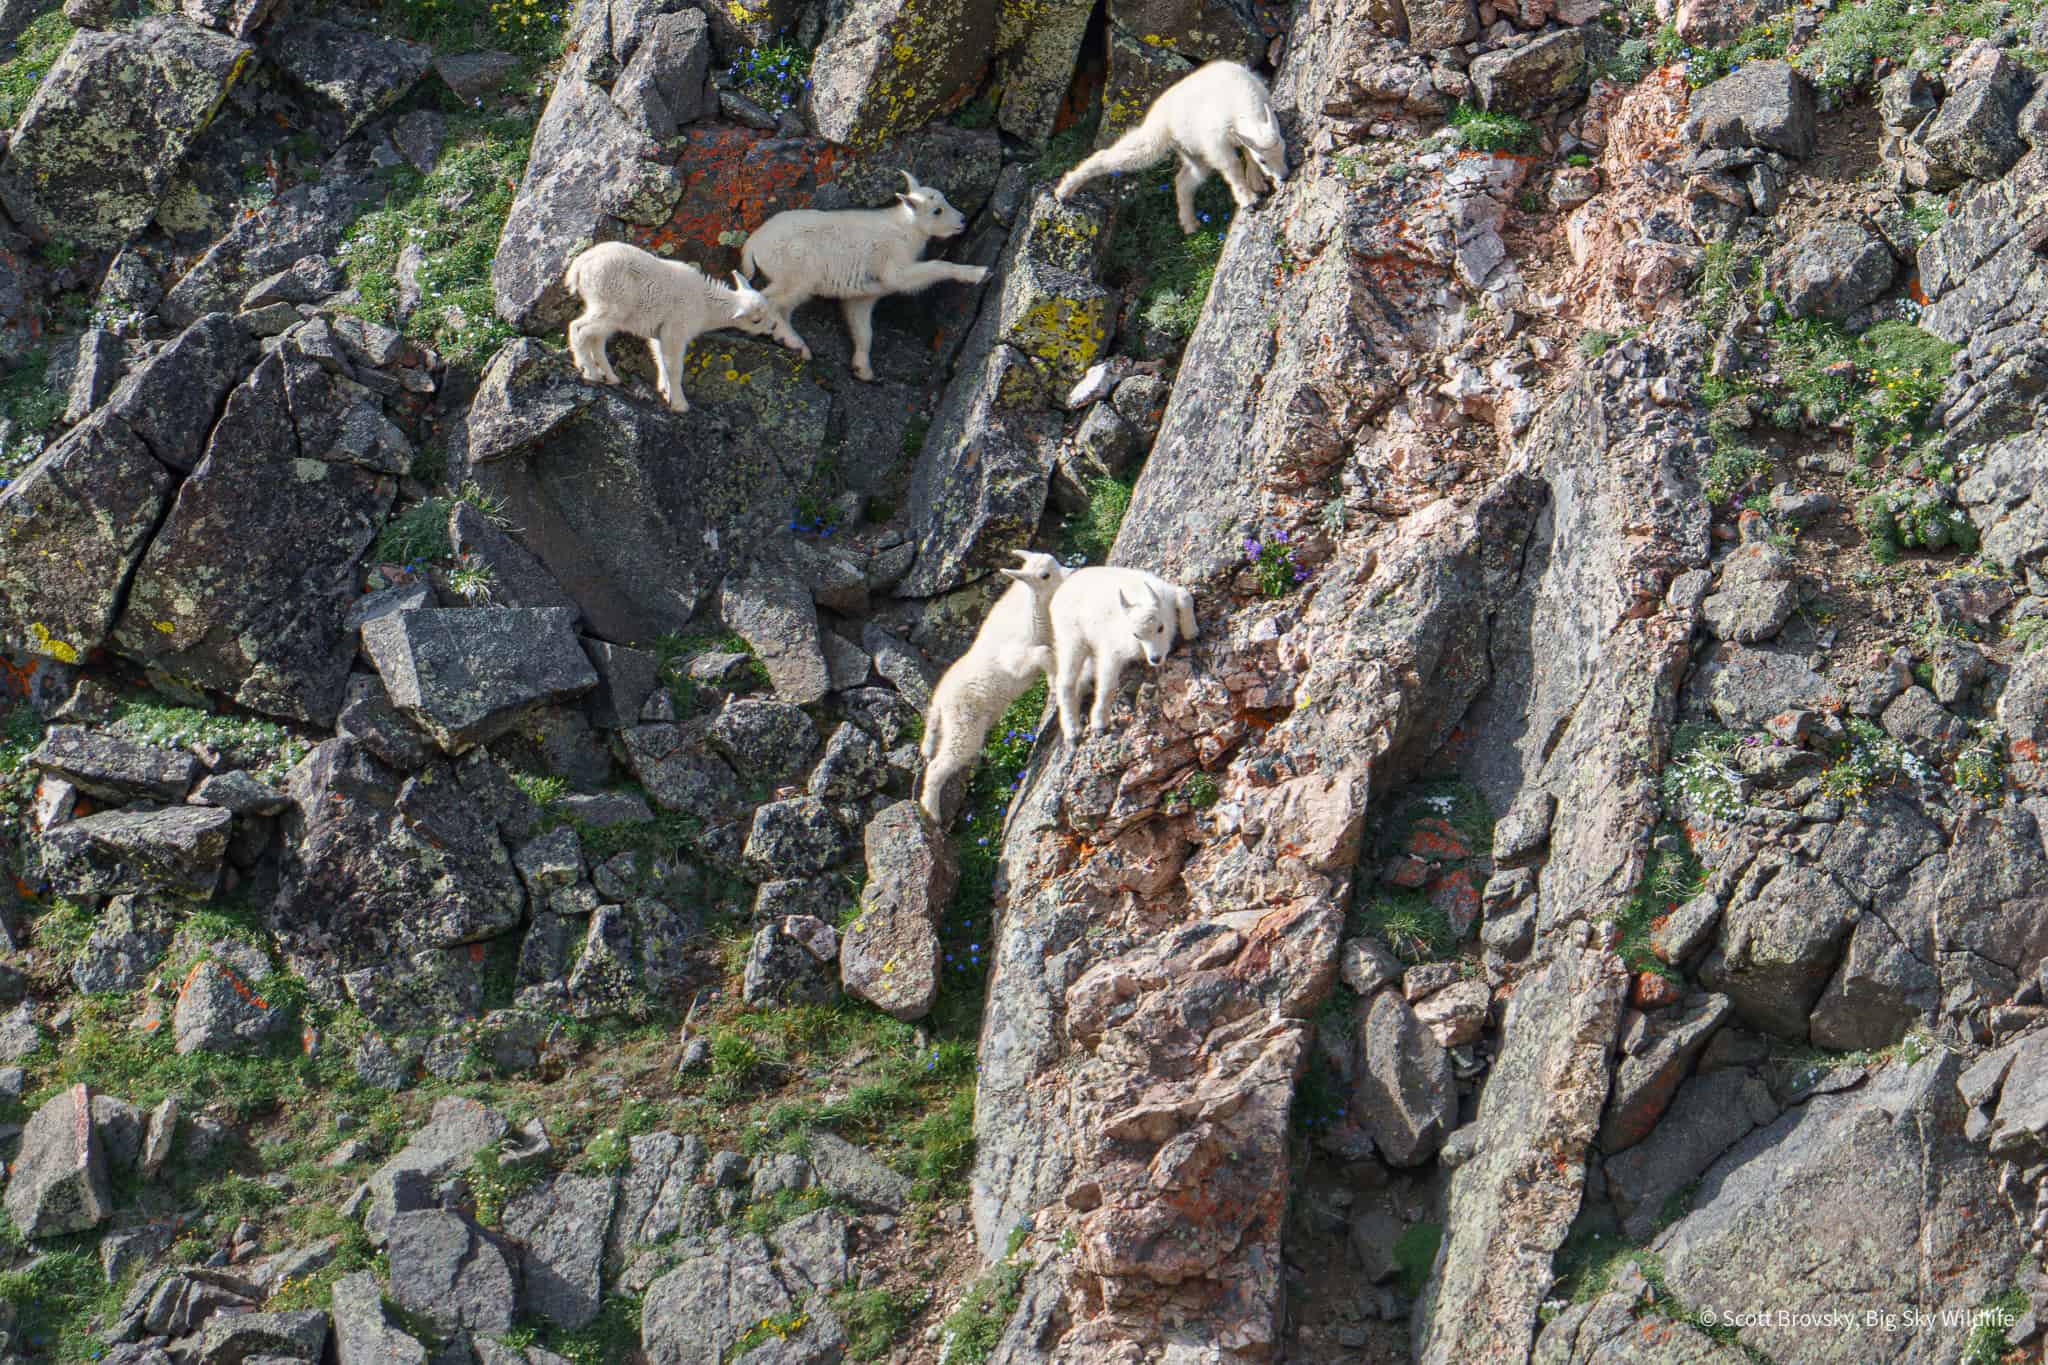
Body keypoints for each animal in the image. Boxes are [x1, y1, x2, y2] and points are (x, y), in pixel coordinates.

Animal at [563, 241, 804, 413]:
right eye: (755, 320)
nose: (773, 326)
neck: (706, 306)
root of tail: (579, 267)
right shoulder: (676, 330)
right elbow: (674, 367)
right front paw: (680, 404)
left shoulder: (659, 332)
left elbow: (660, 359)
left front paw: (664, 390)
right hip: (609, 305)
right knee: (579, 329)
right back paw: (590, 372)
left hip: (605, 309)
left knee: (595, 338)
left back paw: (610, 377)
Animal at [740, 171, 990, 382]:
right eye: (936, 211)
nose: (962, 221)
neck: (907, 230)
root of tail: (753, 245)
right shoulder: (894, 268)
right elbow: (933, 267)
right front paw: (978, 273)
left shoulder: (863, 294)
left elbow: (864, 331)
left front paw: (863, 370)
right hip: (797, 273)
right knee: (768, 300)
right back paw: (791, 340)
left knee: (780, 305)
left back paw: (793, 343)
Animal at [918, 551, 1069, 823]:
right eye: (1045, 575)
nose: (1073, 572)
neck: (1034, 616)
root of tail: (939, 702)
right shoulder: (1017, 662)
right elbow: (1044, 654)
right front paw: (1054, 684)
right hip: (964, 727)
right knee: (938, 766)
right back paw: (932, 812)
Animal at [1049, 566, 1198, 744]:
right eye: (1136, 635)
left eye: (1160, 627)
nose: (1155, 659)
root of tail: (1060, 591)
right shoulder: (1111, 652)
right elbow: (1107, 686)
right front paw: (1099, 723)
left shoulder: (1169, 596)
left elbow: (1183, 595)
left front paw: (1191, 631)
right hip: (1071, 640)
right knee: (1065, 682)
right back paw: (1072, 732)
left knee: (1081, 680)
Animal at [1055, 61, 1288, 234]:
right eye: (1265, 160)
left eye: (1283, 149)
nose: (1285, 176)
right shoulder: (1216, 143)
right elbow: (1232, 167)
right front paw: (1248, 199)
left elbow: (1248, 153)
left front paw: (1257, 181)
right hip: (1155, 138)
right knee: (1110, 156)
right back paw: (1065, 189)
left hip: (1192, 152)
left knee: (1184, 179)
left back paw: (1189, 224)